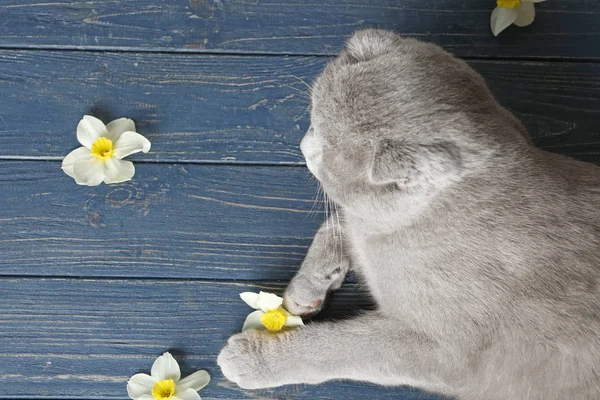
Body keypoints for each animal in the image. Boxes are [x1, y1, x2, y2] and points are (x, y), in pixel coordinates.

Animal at [217, 28, 600, 400]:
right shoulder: (367, 222)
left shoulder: (442, 352)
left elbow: (342, 348)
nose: (304, 147)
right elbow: (337, 224)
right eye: (312, 121)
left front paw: (255, 358)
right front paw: (305, 289)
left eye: (324, 150)